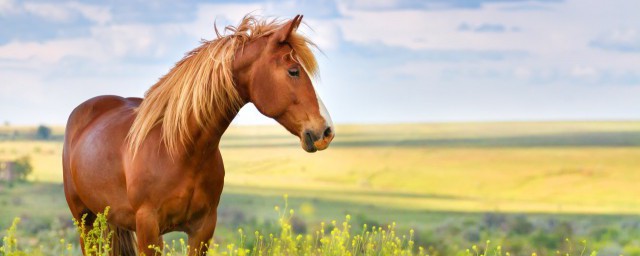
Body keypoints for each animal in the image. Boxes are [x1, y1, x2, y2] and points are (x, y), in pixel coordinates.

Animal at [62, 15, 336, 255]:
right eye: (293, 71)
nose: (326, 131)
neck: (179, 150)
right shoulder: (148, 228)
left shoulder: (202, 229)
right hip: (84, 220)